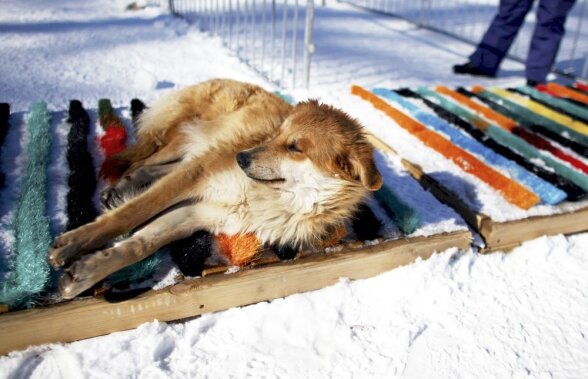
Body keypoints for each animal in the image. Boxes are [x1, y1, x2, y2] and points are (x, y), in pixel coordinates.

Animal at [48, 79, 384, 300]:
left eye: (295, 148)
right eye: (277, 134)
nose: (241, 158)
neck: (271, 197)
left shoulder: (201, 212)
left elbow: (139, 245)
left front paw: (85, 272)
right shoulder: (195, 177)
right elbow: (131, 215)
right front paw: (72, 244)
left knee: (154, 167)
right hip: (190, 141)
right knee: (145, 162)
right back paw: (120, 187)